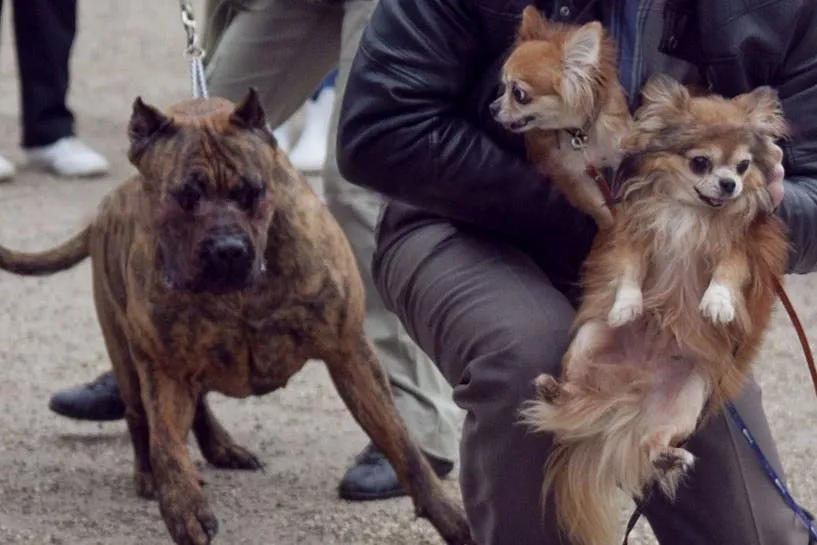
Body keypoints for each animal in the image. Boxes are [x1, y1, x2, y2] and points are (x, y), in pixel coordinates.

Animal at [0, 90, 474, 544]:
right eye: (185, 198)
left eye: (252, 194)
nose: (228, 249)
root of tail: (106, 207)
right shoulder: (162, 366)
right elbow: (166, 443)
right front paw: (182, 504)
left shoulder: (349, 352)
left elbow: (403, 446)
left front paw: (450, 518)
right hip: (127, 355)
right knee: (141, 419)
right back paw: (155, 473)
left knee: (195, 406)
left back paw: (221, 449)